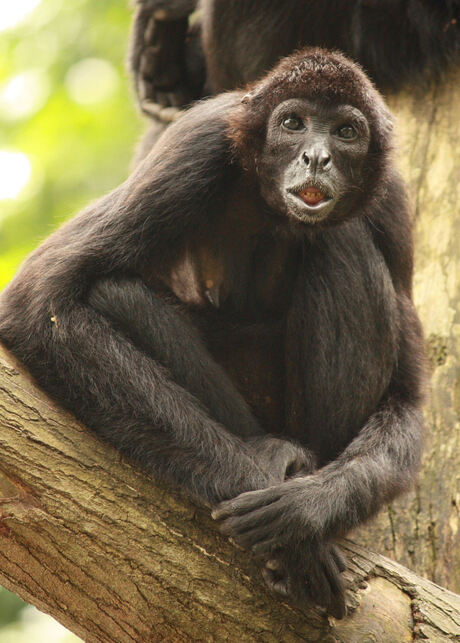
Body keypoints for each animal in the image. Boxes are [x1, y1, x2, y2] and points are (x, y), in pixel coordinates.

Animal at [0, 50, 424, 620]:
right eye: (293, 124)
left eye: (346, 132)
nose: (316, 158)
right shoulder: (195, 145)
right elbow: (39, 300)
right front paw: (269, 501)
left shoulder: (390, 199)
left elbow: (407, 399)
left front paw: (305, 512)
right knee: (116, 293)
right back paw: (275, 458)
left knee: (344, 238)